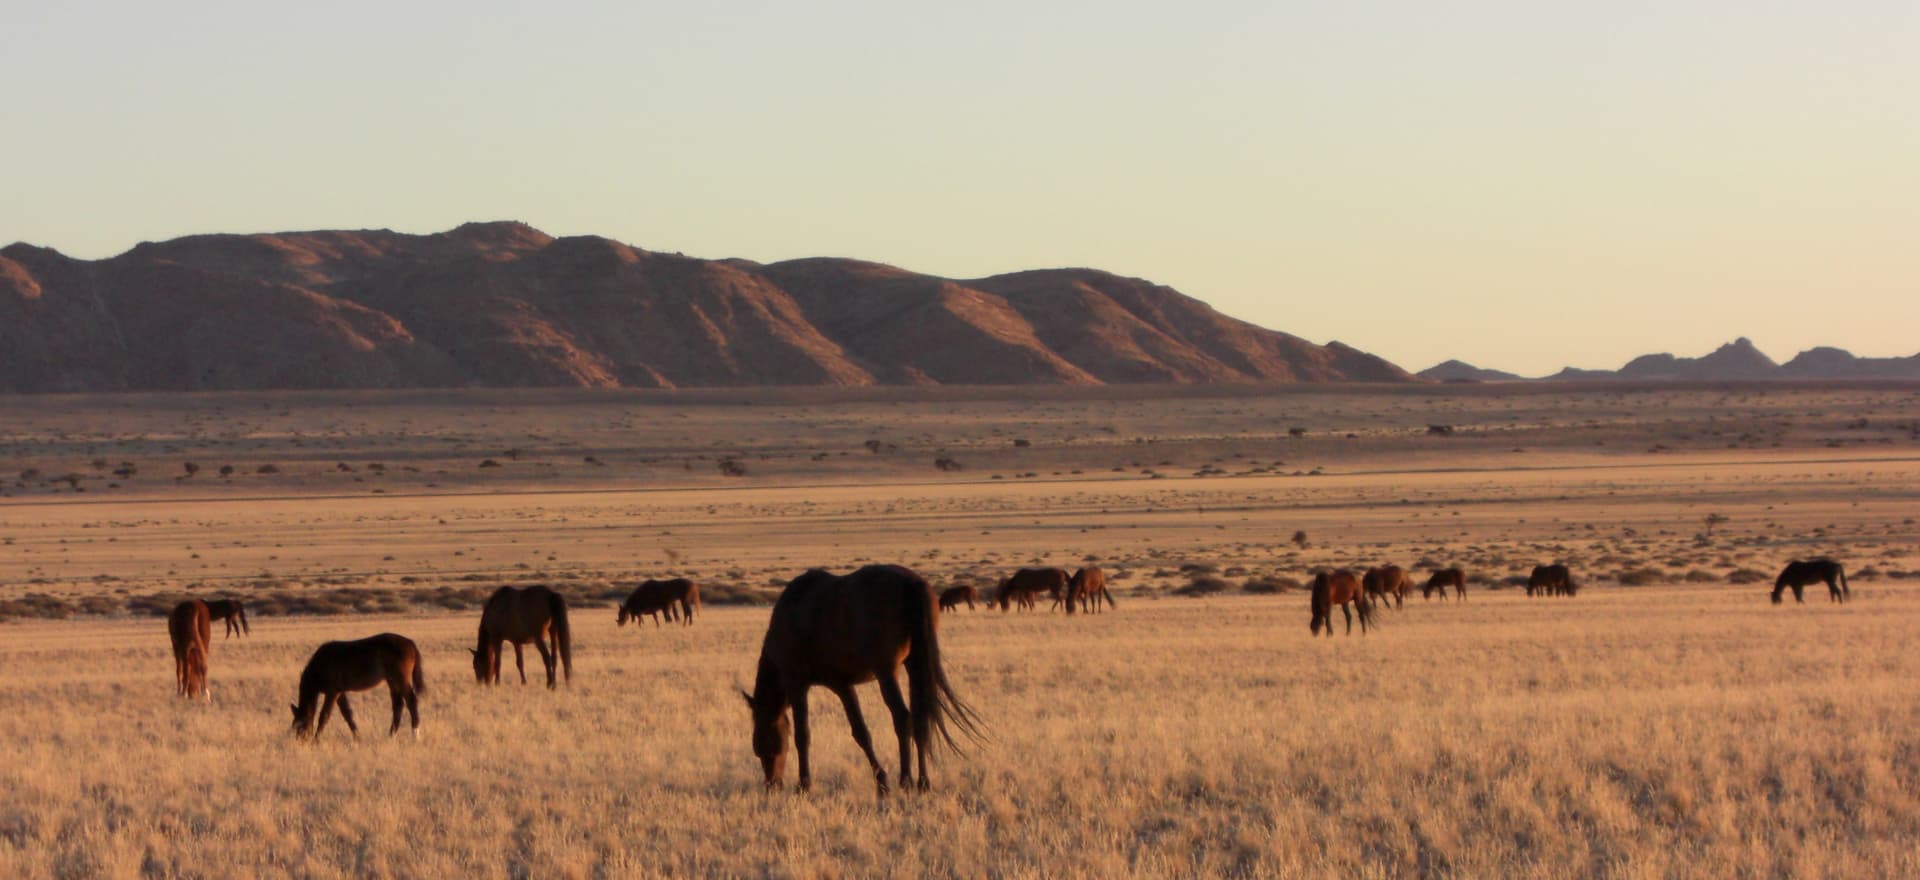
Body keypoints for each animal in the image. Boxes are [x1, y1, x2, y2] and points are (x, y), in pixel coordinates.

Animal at [289, 633, 425, 741]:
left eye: (300, 725)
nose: (301, 742)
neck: (320, 665)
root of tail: (410, 643)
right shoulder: (340, 692)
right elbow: (347, 714)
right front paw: (357, 737)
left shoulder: (332, 692)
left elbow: (324, 715)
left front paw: (316, 740)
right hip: (392, 682)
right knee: (398, 705)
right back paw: (391, 736)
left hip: (400, 680)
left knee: (411, 701)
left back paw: (415, 735)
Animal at [743, 564, 983, 795]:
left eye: (761, 745)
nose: (772, 785)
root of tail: (912, 583)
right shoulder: (843, 686)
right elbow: (861, 733)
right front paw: (881, 782)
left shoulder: (797, 684)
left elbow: (802, 735)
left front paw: (804, 785)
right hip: (915, 663)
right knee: (920, 719)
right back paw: (923, 782)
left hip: (886, 672)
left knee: (902, 718)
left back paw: (906, 780)